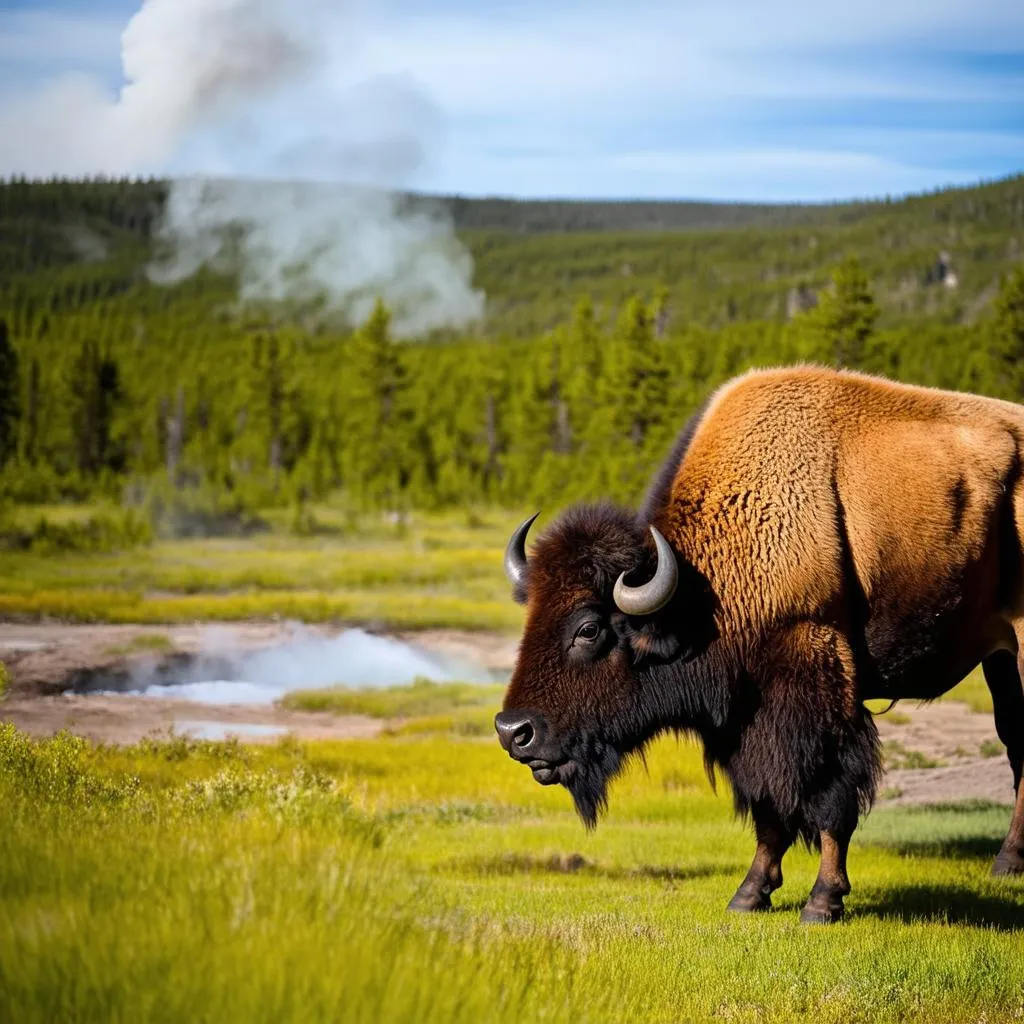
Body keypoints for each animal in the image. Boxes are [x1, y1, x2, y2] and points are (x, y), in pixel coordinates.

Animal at [495, 364, 1024, 925]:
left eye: (590, 628)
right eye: (532, 614)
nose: (513, 732)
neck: (702, 588)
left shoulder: (813, 688)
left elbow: (826, 795)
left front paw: (822, 901)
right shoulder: (744, 721)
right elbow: (768, 805)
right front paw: (749, 895)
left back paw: (1005, 862)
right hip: (999, 658)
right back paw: (1009, 864)